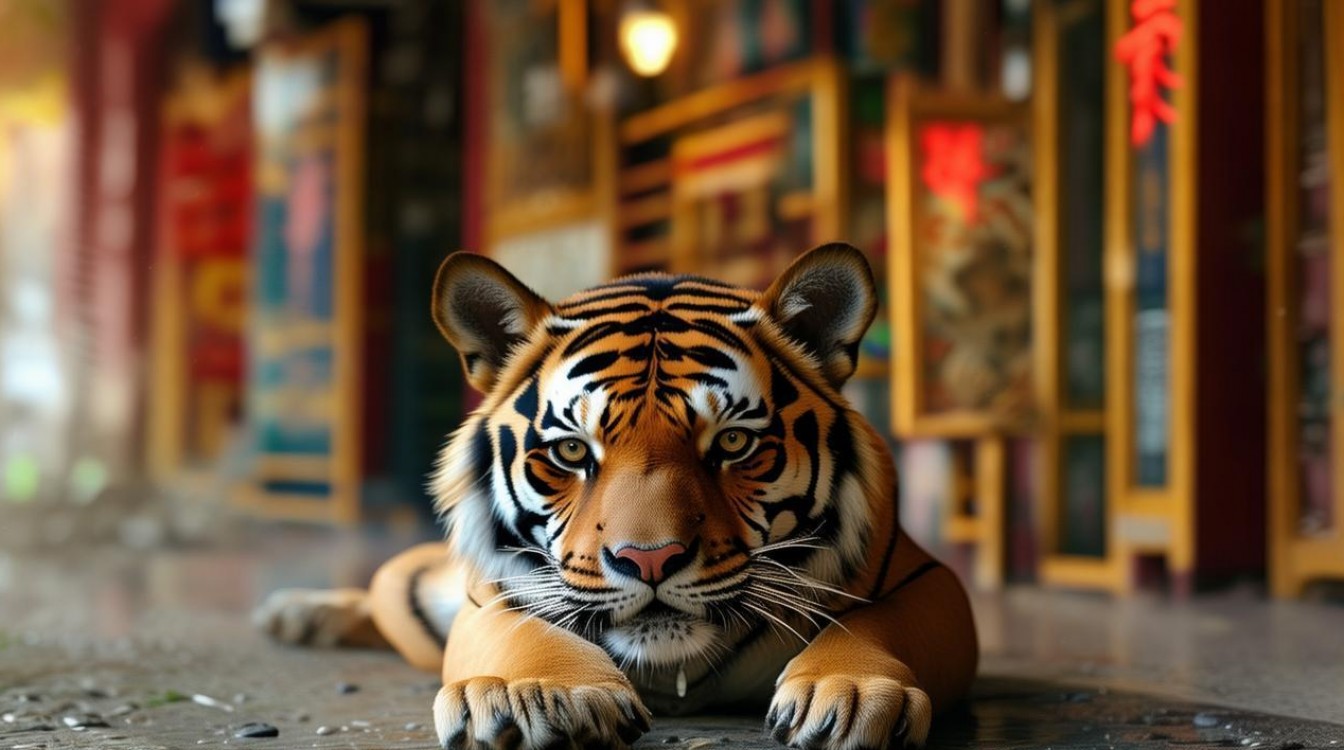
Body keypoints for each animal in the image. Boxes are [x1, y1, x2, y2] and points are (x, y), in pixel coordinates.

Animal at [255, 243, 978, 750]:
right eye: (574, 452)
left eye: (733, 443)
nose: (649, 561)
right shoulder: (491, 592)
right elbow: (523, 629)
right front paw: (536, 693)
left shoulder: (928, 581)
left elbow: (869, 623)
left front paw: (851, 690)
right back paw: (295, 612)